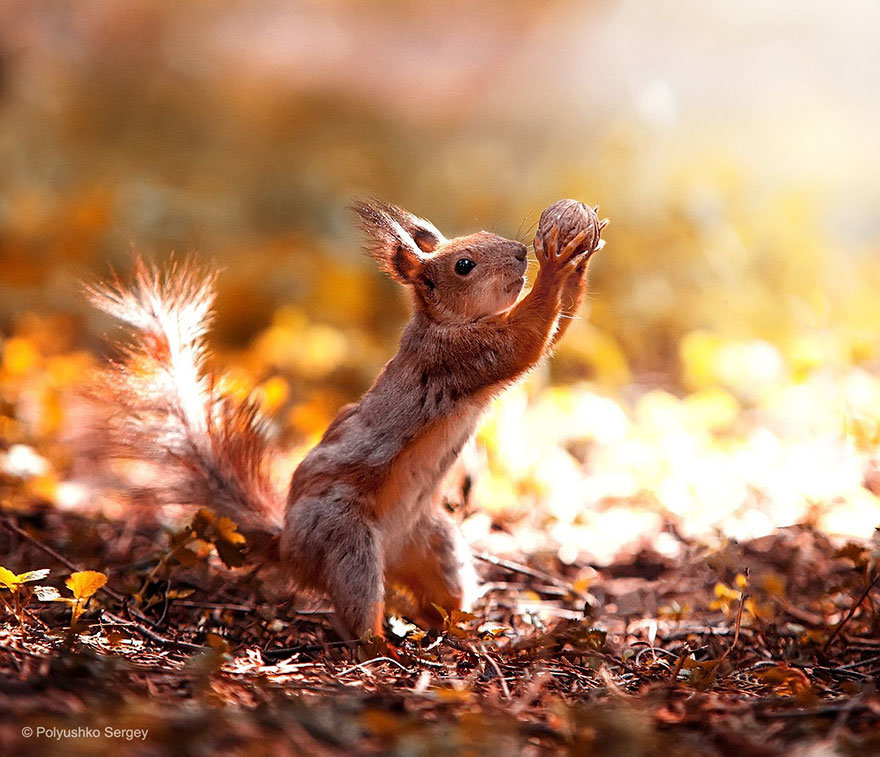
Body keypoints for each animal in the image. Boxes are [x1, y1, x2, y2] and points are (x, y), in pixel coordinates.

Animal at [88, 199, 605, 640]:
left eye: (485, 235)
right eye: (464, 265)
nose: (520, 252)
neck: (444, 323)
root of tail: (290, 549)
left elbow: (553, 330)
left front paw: (577, 254)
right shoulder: (459, 357)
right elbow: (527, 340)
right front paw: (556, 262)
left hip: (434, 543)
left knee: (441, 592)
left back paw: (459, 629)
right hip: (347, 541)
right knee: (359, 607)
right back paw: (381, 646)